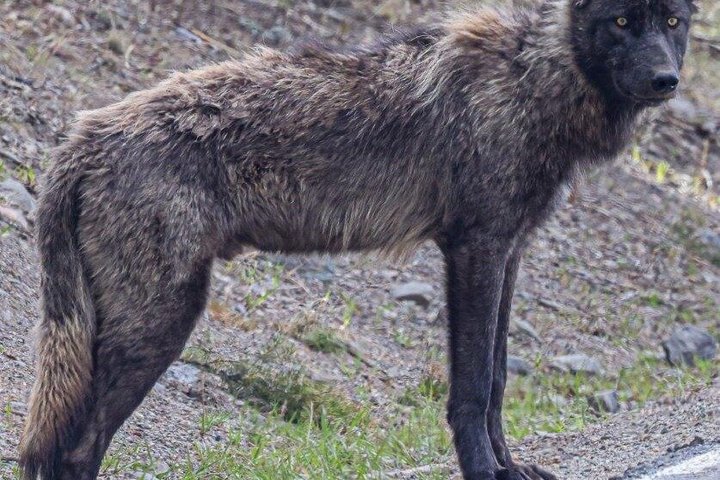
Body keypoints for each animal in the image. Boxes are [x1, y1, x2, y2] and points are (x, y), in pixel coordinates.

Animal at [19, 0, 696, 478]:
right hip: (158, 326)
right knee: (75, 453)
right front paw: (483, 472)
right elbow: (474, 385)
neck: (533, 79)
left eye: (671, 20)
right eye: (621, 21)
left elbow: (499, 381)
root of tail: (80, 138)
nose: (667, 80)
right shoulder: (475, 252)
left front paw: (510, 467)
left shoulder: (510, 255)